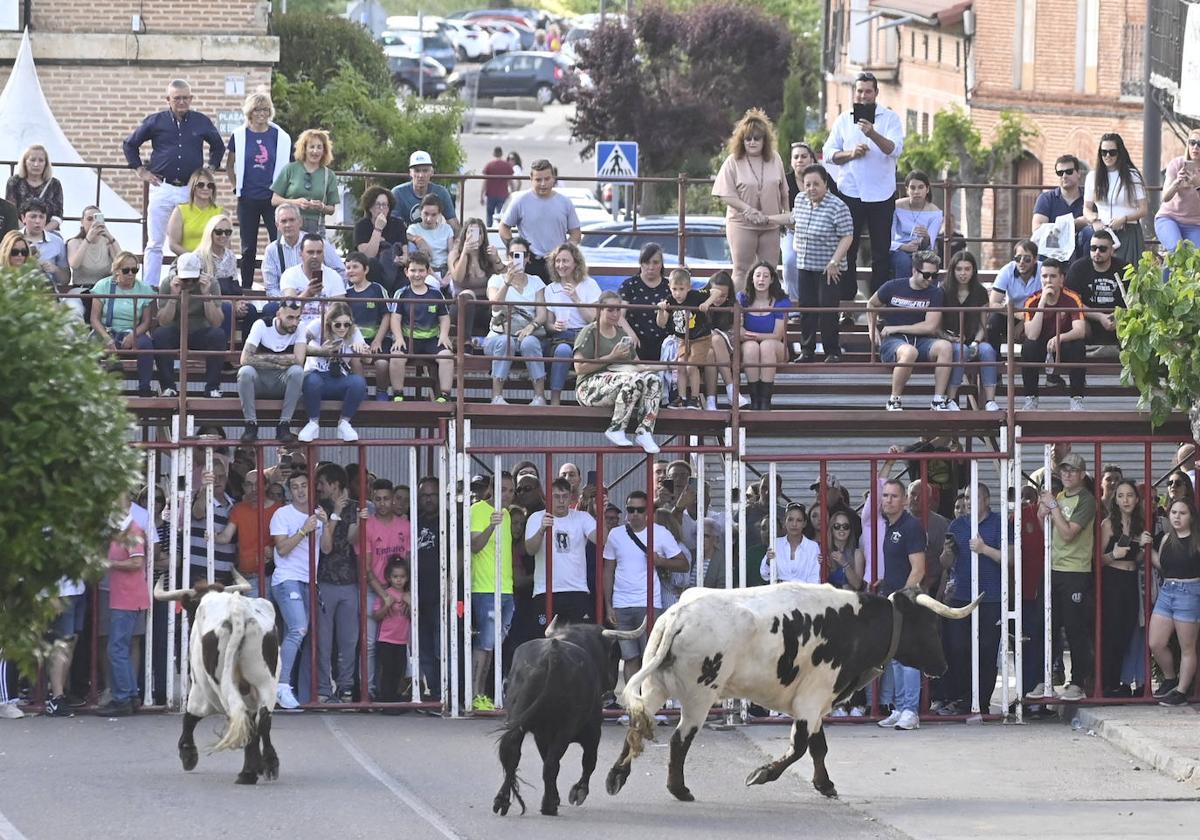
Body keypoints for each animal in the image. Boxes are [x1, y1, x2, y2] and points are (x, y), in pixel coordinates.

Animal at [150, 571, 278, 787]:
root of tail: (238, 611)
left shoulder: (200, 688)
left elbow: (190, 716)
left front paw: (188, 753)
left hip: (220, 685)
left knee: (242, 716)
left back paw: (247, 773)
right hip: (266, 681)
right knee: (262, 719)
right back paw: (268, 764)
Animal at [492, 614, 648, 816]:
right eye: (613, 657)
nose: (611, 686)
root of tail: (553, 654)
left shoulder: (542, 734)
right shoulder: (592, 730)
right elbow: (589, 761)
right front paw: (578, 791)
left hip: (517, 719)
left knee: (513, 754)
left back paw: (502, 801)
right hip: (566, 727)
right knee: (552, 764)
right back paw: (549, 805)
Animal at [604, 580, 979, 801]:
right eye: (929, 625)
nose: (943, 666)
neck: (857, 623)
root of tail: (679, 616)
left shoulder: (817, 702)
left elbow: (818, 747)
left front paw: (824, 784)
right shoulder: (812, 700)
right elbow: (800, 748)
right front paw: (762, 774)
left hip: (655, 687)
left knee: (638, 723)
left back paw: (616, 776)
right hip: (699, 697)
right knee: (680, 740)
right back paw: (679, 789)